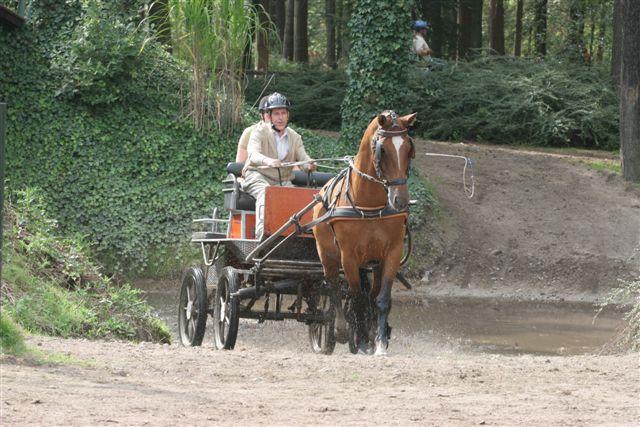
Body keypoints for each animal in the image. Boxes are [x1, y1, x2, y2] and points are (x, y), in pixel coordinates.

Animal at [312, 109, 418, 354]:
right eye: (383, 150)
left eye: (409, 148)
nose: (400, 201)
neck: (369, 204)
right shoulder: (348, 257)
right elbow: (356, 298)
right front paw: (359, 341)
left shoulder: (392, 253)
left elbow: (381, 299)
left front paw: (378, 342)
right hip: (328, 257)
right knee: (333, 290)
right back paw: (342, 330)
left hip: (372, 262)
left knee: (371, 293)